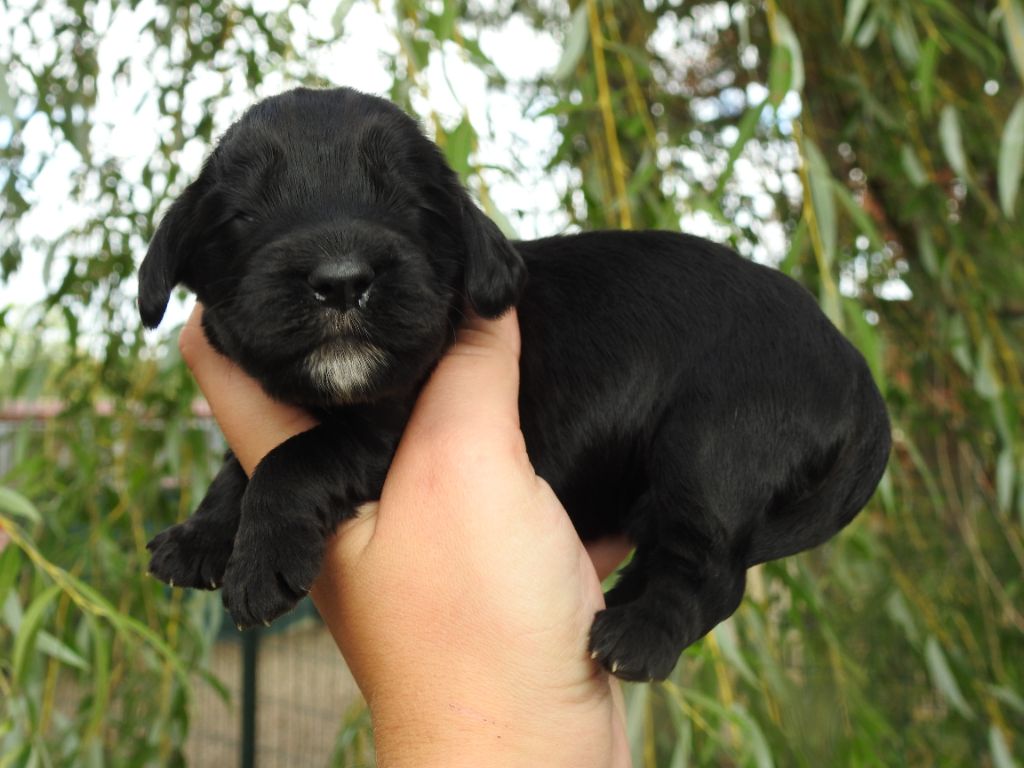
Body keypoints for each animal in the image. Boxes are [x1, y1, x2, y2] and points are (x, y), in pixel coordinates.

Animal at [140, 87, 892, 684]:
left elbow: (290, 457)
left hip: (713, 448)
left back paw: (638, 635)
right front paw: (201, 534)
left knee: (711, 571)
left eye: (411, 203)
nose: (342, 280)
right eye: (241, 216)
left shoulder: (386, 429)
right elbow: (242, 460)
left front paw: (260, 558)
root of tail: (854, 364)